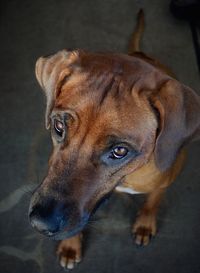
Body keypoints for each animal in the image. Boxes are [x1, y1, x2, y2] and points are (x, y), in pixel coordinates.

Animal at [28, 10, 200, 268]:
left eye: (120, 151)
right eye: (58, 127)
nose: (40, 223)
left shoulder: (163, 182)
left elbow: (153, 203)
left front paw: (145, 223)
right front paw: (70, 245)